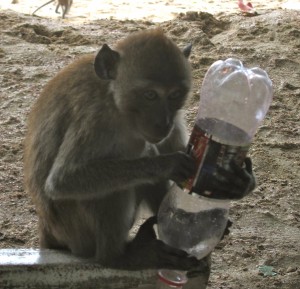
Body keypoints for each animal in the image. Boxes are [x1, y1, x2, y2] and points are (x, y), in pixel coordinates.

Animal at [24, 29, 255, 274]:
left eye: (174, 95)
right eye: (150, 95)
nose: (163, 122)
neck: (114, 99)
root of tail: (46, 227)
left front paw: (238, 181)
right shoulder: (95, 118)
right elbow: (63, 180)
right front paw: (167, 164)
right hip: (76, 232)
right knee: (114, 188)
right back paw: (118, 257)